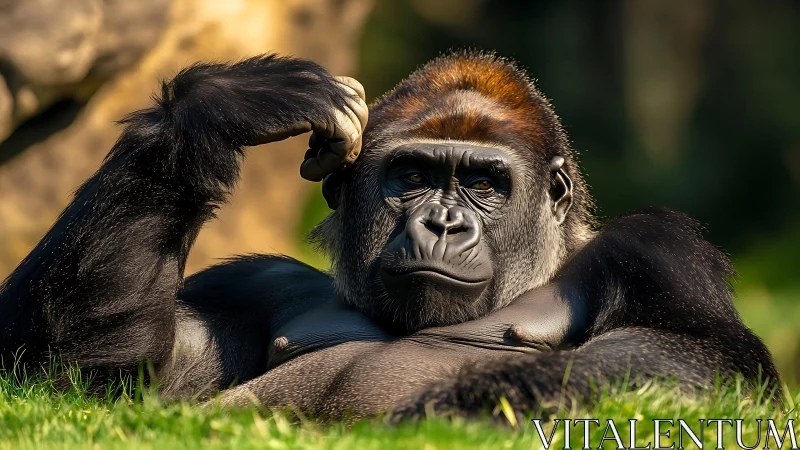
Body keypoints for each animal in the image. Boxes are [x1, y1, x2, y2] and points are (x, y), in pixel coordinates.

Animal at [0, 52, 779, 421]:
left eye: (485, 184)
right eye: (411, 175)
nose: (443, 222)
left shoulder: (655, 249)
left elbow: (707, 359)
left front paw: (487, 394)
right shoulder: (254, 283)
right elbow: (94, 376)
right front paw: (222, 105)